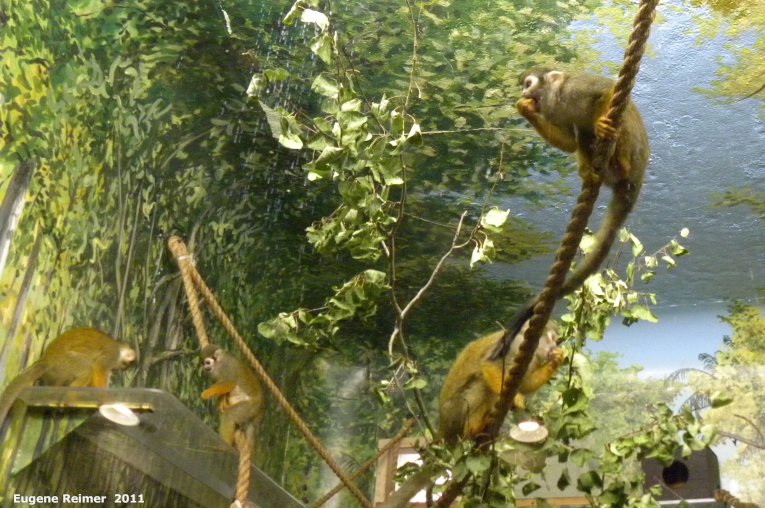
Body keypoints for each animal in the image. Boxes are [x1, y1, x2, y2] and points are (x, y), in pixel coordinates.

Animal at [0, 327, 136, 425]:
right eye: (125, 364)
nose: (123, 369)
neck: (118, 347)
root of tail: (46, 360)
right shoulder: (112, 355)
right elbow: (98, 367)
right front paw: (104, 396)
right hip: (65, 362)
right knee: (87, 367)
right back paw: (71, 396)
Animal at [379, 321, 563, 508]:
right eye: (552, 338)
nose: (555, 346)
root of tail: (443, 425)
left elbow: (524, 385)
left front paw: (557, 360)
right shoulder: (515, 345)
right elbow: (488, 366)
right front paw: (514, 398)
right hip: (456, 410)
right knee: (481, 382)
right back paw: (475, 427)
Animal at [492, 68, 649, 360]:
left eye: (529, 83)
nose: (523, 92)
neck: (558, 100)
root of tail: (636, 179)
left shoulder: (578, 88)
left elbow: (605, 92)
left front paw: (602, 124)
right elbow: (568, 143)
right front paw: (525, 109)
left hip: (635, 155)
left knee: (617, 121)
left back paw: (617, 157)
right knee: (582, 138)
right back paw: (591, 170)